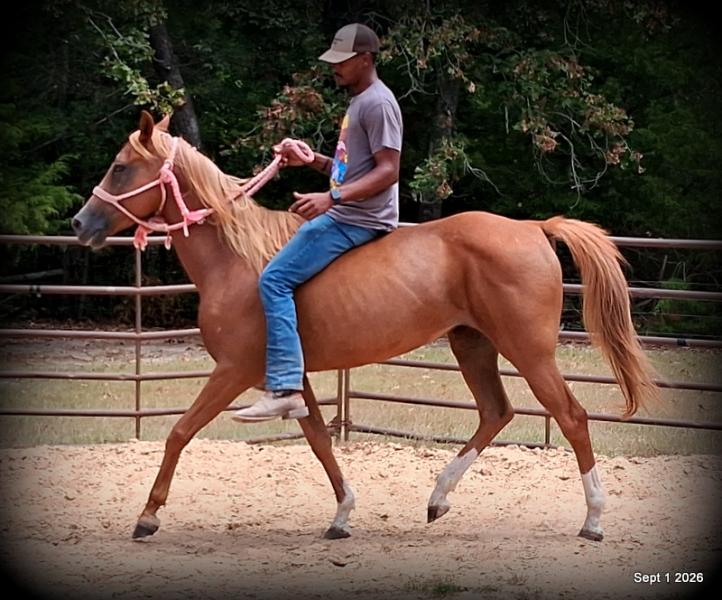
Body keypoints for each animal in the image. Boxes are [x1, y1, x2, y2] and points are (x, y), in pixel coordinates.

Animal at [72, 111, 656, 542]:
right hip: (473, 345)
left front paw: (148, 515)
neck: (237, 262)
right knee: (497, 412)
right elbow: (317, 438)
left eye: (120, 167)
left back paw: (593, 520)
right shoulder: (292, 379)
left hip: (529, 352)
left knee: (572, 417)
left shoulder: (235, 371)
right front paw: (342, 514)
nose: (80, 223)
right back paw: (437, 499)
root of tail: (534, 228)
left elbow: (179, 431)